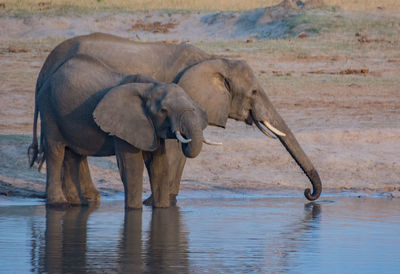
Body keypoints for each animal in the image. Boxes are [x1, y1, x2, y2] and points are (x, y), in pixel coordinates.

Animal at [28, 32, 322, 204]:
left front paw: (165, 200)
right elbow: (173, 150)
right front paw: (158, 202)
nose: (308, 194)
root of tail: (45, 65)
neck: (213, 59)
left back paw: (86, 200)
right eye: (253, 92)